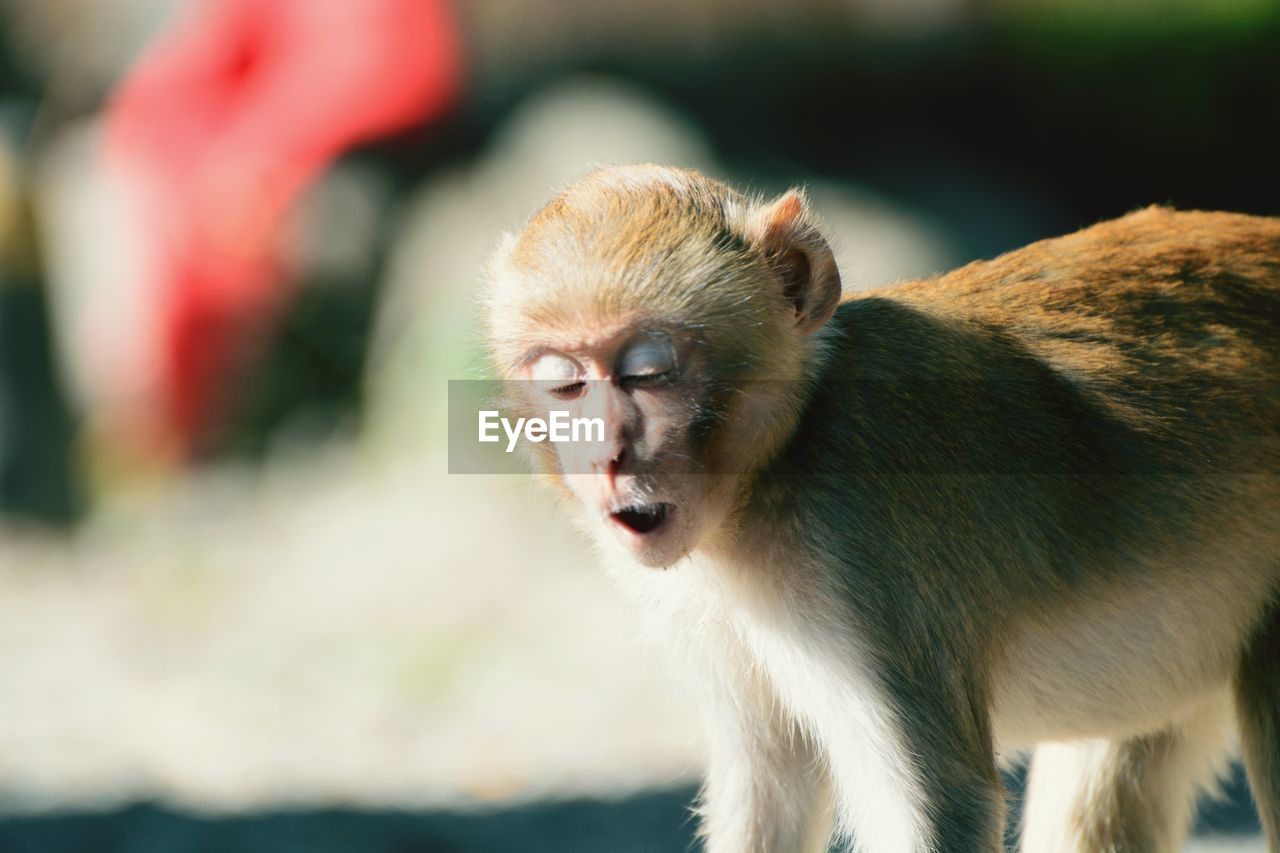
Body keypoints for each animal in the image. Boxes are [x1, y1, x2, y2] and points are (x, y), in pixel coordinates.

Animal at [481, 162, 1280, 845]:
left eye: (648, 373)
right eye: (565, 384)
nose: (606, 453)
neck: (771, 476)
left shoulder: (859, 550)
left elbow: (938, 806)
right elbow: (771, 781)